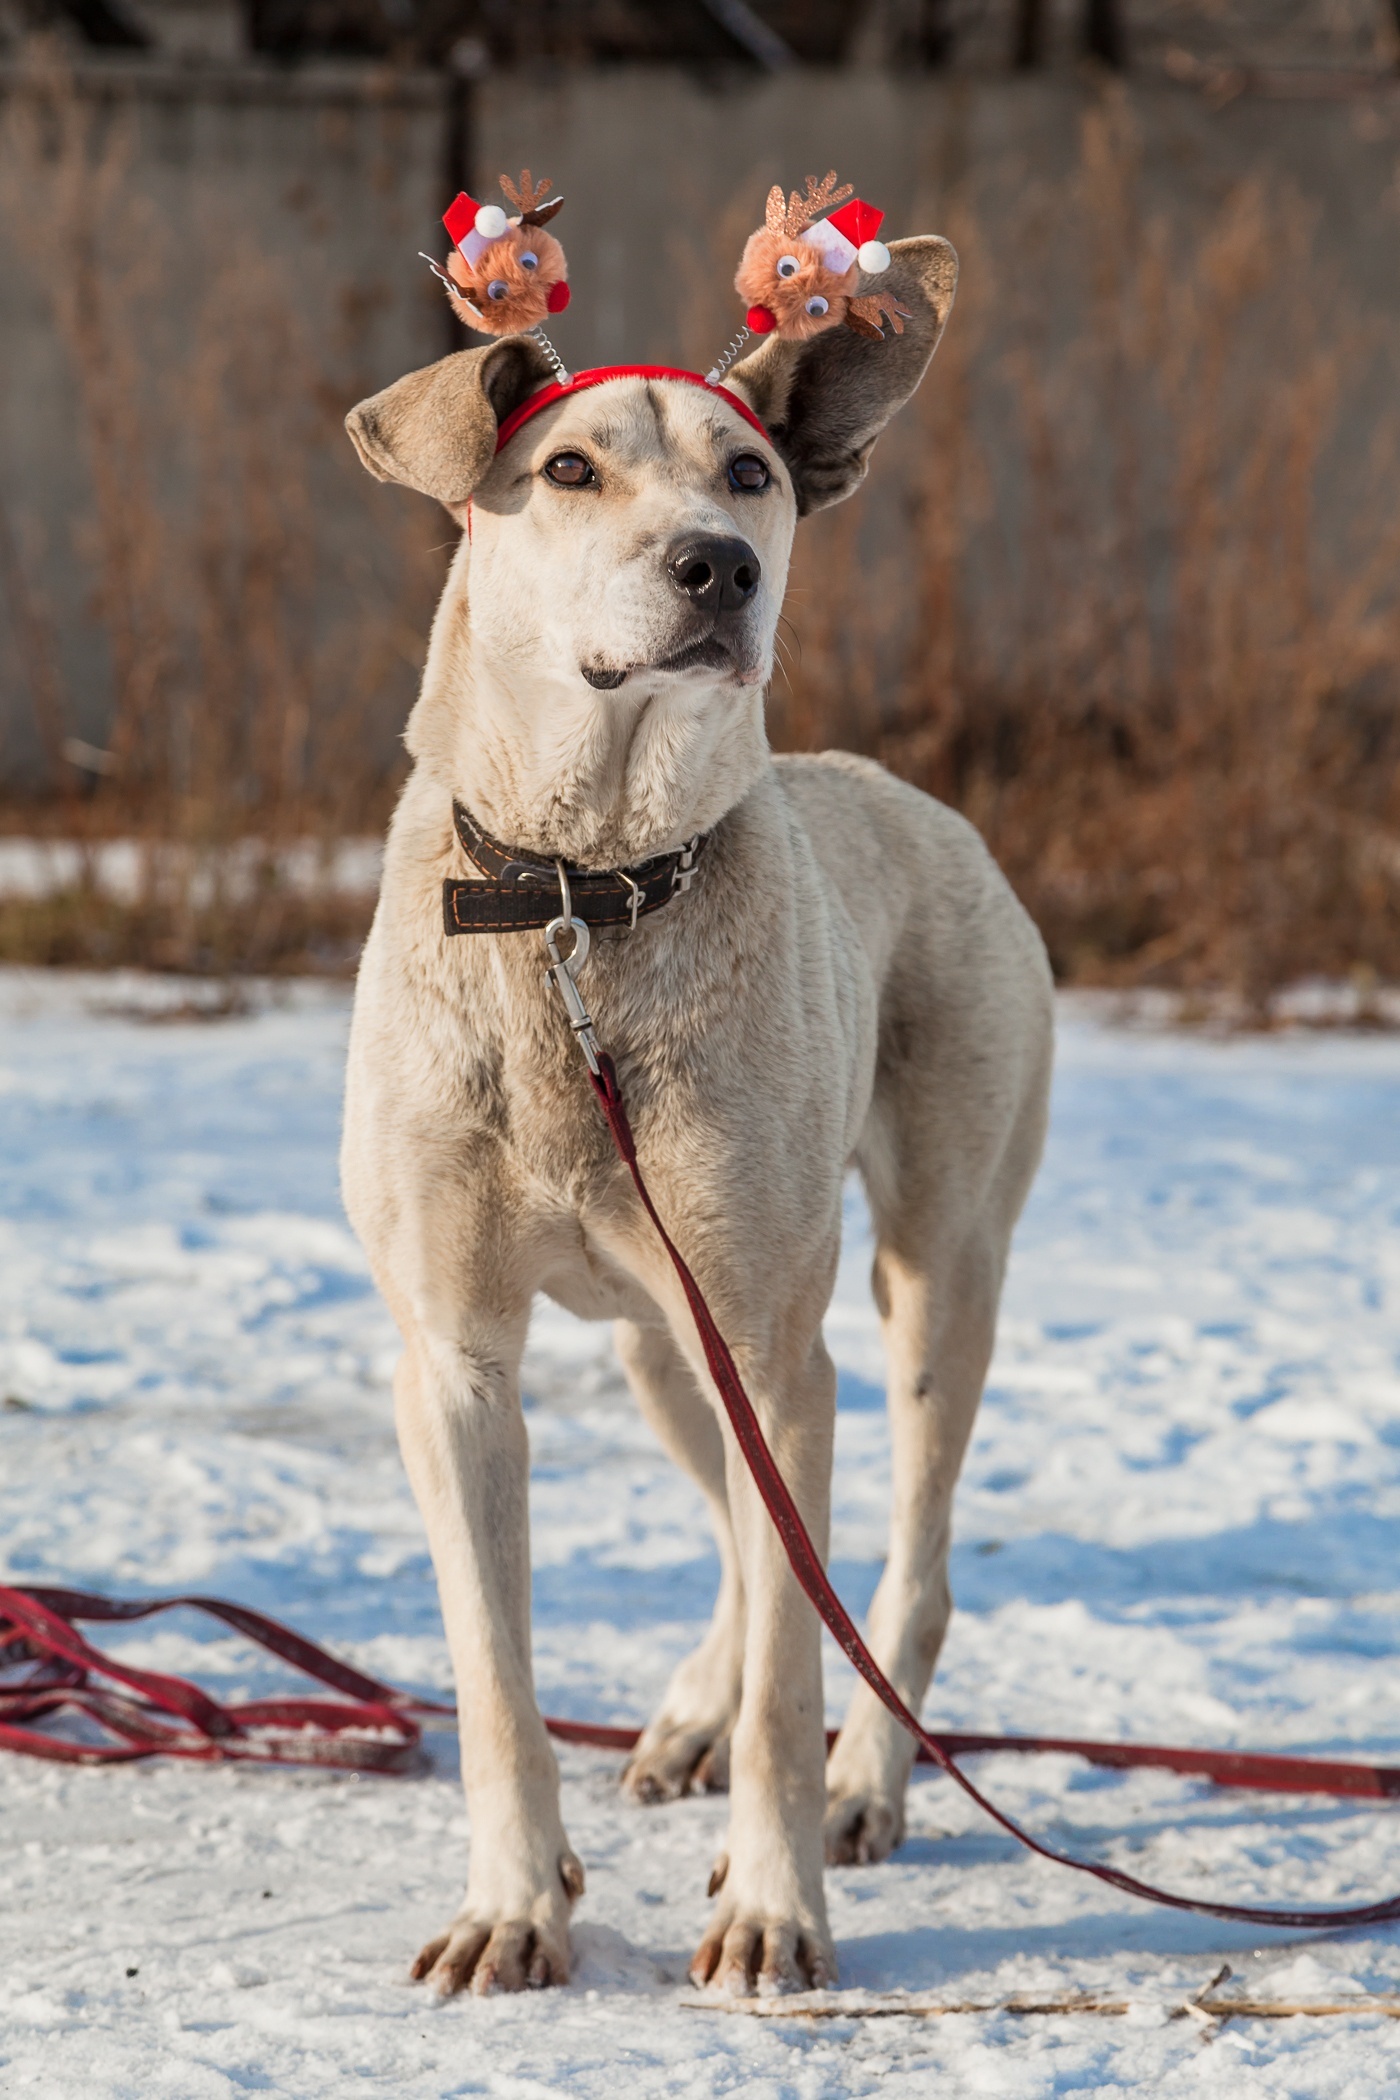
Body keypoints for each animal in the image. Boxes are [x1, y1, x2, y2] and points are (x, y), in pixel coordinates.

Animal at [344, 234, 1057, 1999]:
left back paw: (867, 1780)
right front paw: (514, 1909)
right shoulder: (455, 1364)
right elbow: (496, 1677)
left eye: (751, 473)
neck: (580, 895)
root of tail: (907, 791)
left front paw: (773, 1911)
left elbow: (798, 1675)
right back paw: (684, 1714)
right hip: (667, 1347)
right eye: (568, 470)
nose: (718, 568)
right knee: (753, 1544)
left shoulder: (775, 1339)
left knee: (901, 1567)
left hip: (931, 1272)